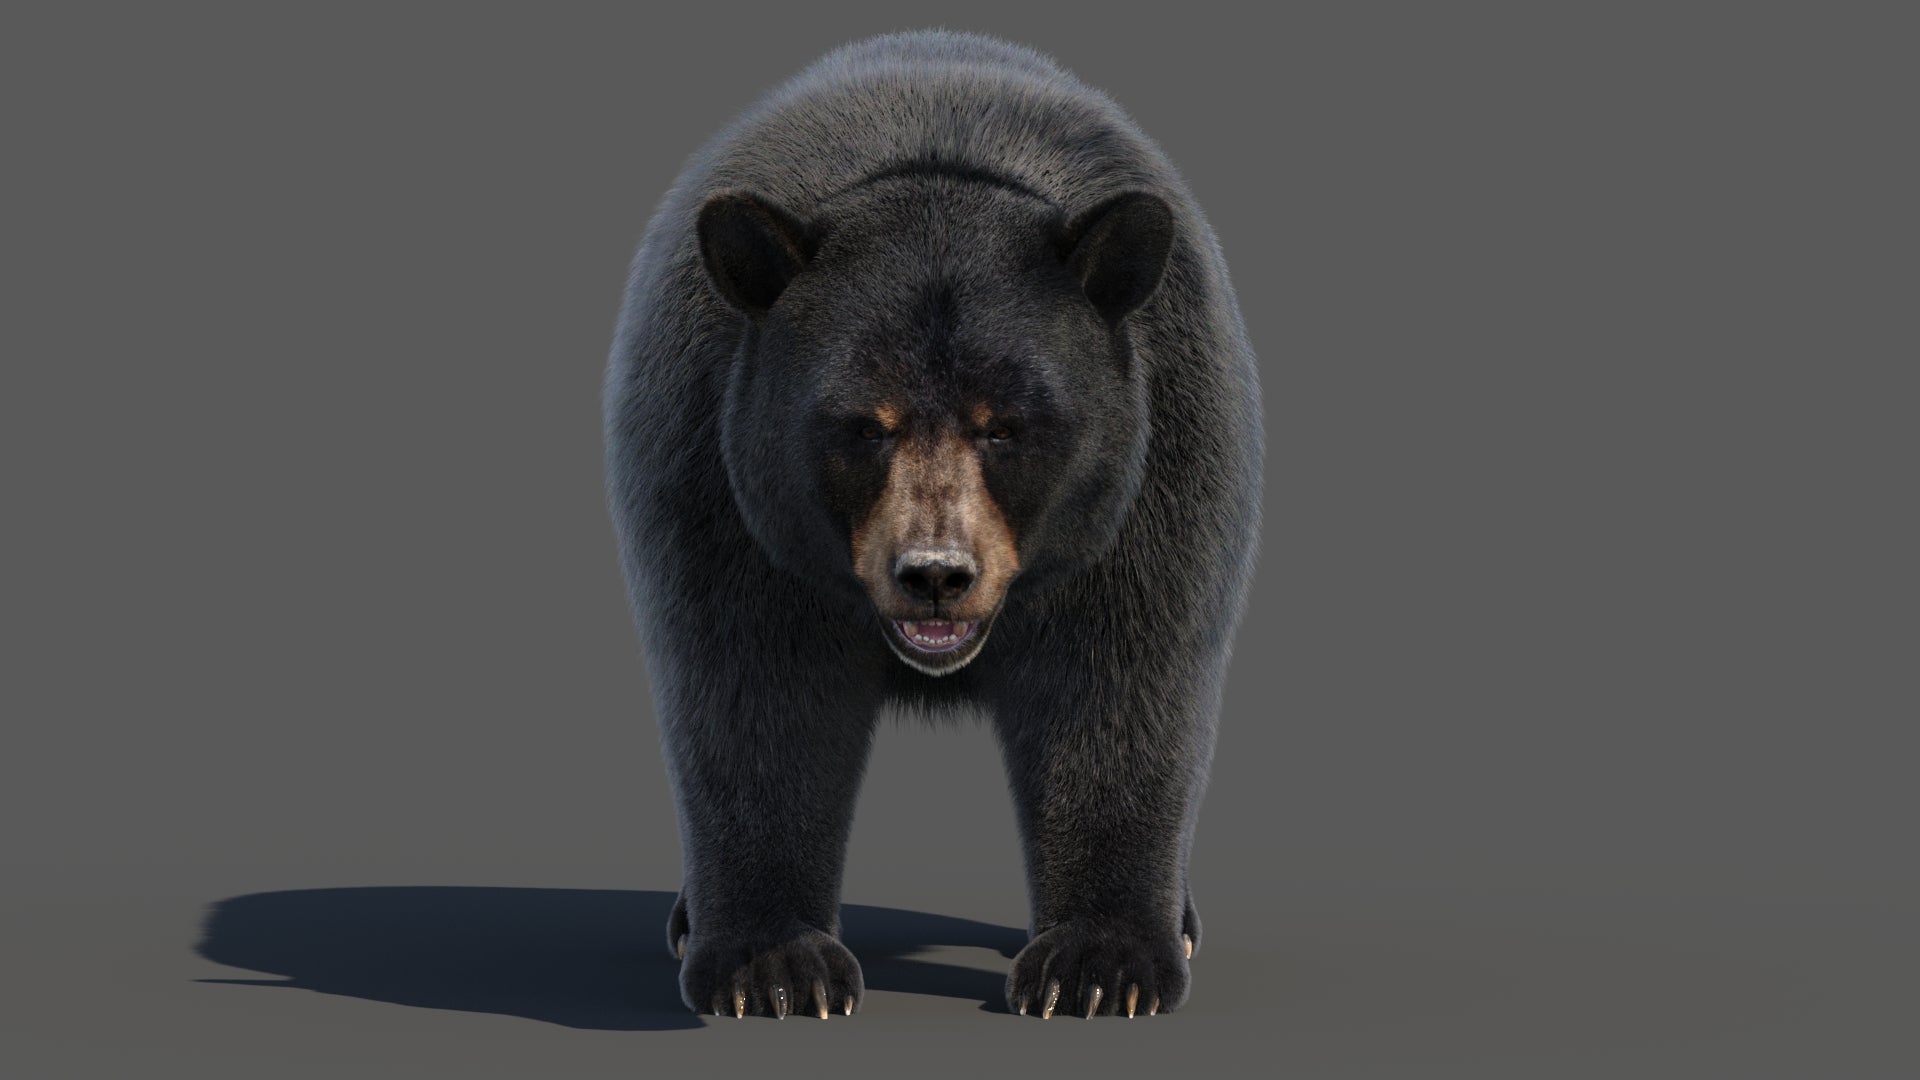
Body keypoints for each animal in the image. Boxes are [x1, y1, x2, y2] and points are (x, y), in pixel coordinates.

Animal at [603, 29, 1262, 1020]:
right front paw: (774, 966)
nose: (936, 573)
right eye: (862, 426)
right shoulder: (716, 481)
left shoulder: (1158, 469)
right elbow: (754, 692)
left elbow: (1119, 682)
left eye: (1006, 424)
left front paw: (1100, 965)